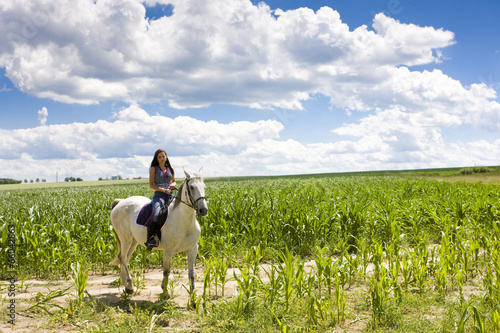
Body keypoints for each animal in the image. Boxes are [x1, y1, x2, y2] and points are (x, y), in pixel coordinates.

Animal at [110, 167, 208, 296]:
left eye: (204, 186)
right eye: (191, 187)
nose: (203, 210)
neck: (184, 221)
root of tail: (120, 202)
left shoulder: (192, 249)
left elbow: (191, 274)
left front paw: (192, 296)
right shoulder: (168, 251)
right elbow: (166, 271)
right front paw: (165, 293)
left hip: (133, 241)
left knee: (124, 257)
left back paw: (125, 284)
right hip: (125, 239)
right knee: (123, 258)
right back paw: (130, 286)